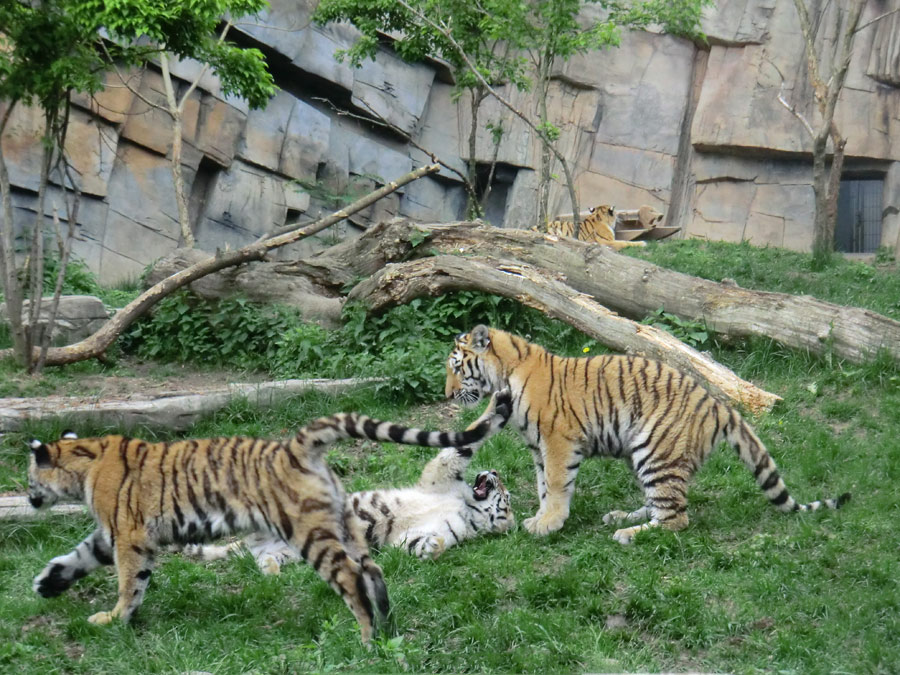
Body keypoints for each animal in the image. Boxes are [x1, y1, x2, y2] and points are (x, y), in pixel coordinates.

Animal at [183, 388, 512, 572]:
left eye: (506, 496)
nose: (495, 473)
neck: (467, 507)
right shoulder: (440, 478)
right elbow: (462, 444)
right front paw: (498, 405)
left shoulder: (424, 532)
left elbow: (419, 543)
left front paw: (434, 547)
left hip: (295, 549)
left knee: (263, 559)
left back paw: (270, 569)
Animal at [442, 324, 852, 548]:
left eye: (457, 367)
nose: (447, 394)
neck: (505, 374)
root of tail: (717, 403)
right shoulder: (537, 446)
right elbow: (544, 486)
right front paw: (542, 519)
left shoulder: (557, 441)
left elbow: (556, 485)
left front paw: (549, 524)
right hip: (642, 456)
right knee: (661, 505)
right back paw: (621, 517)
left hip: (656, 452)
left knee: (676, 519)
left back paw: (629, 533)